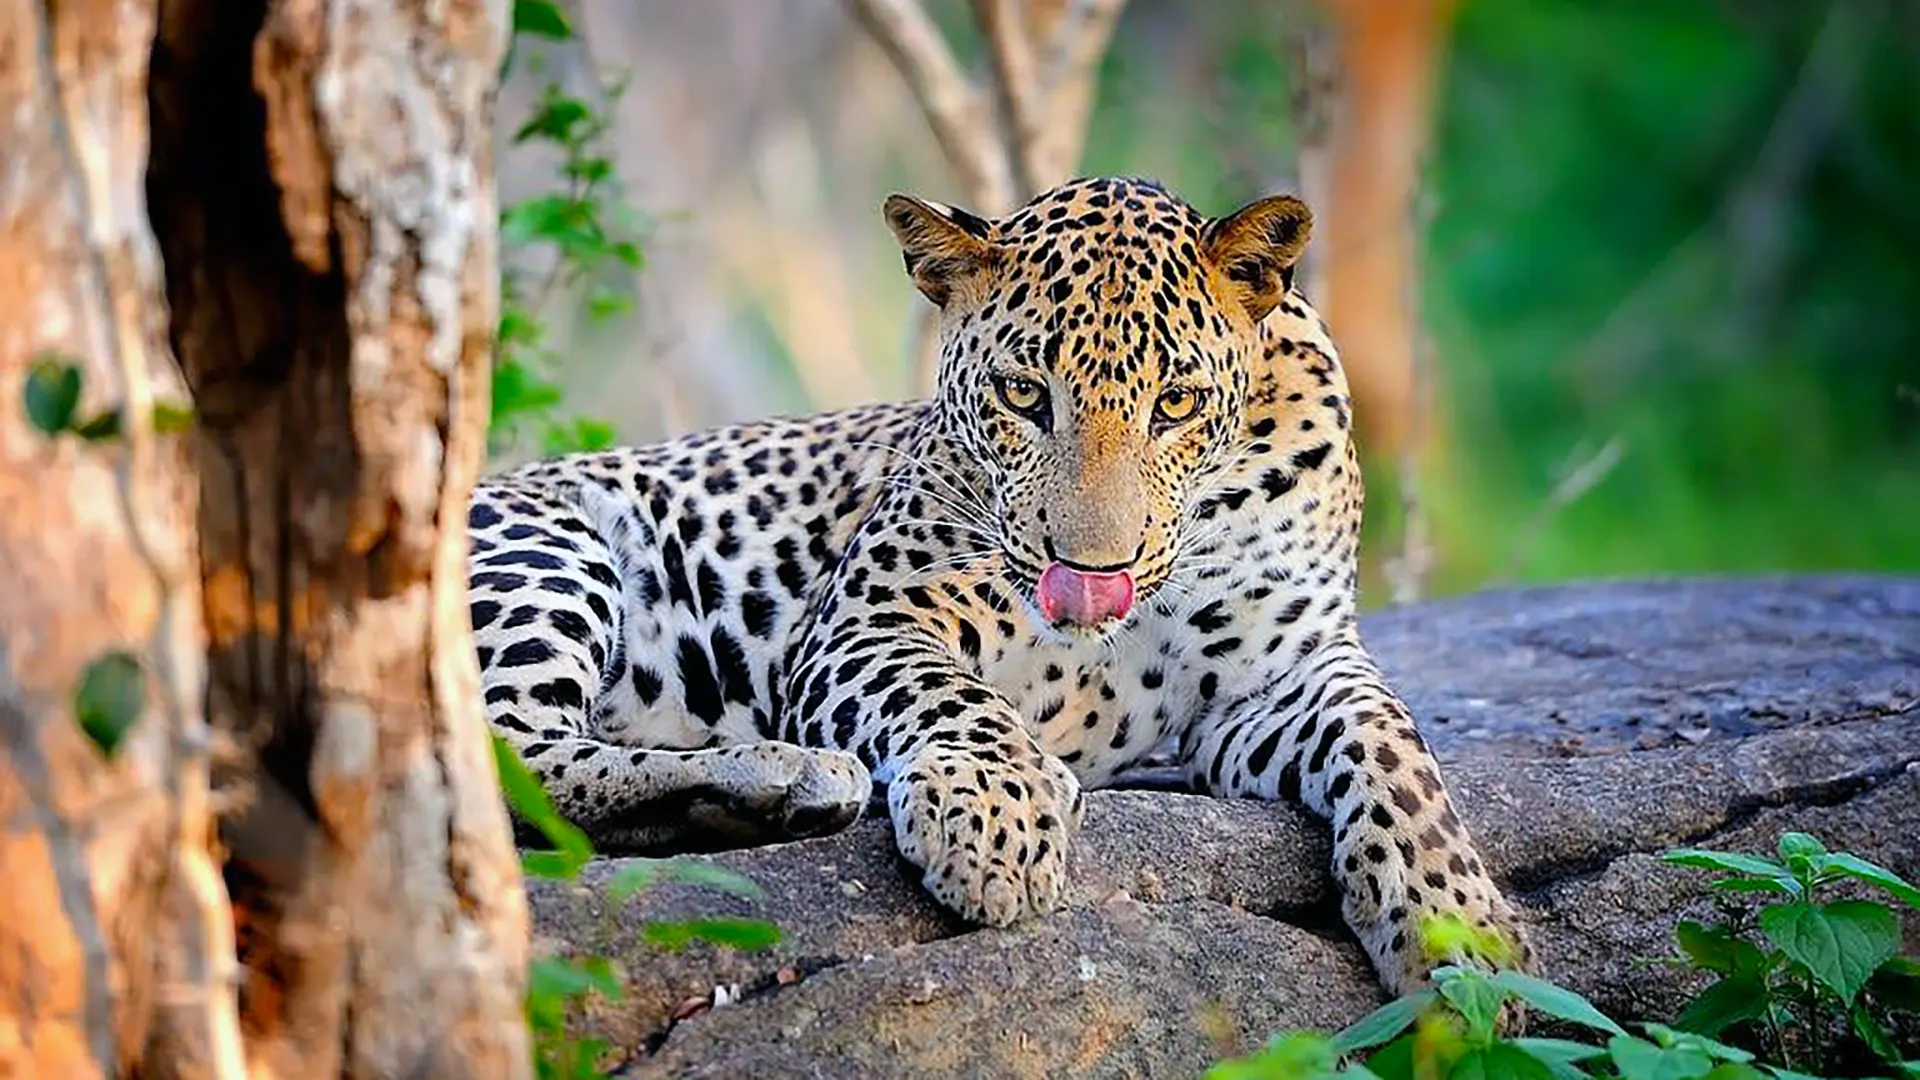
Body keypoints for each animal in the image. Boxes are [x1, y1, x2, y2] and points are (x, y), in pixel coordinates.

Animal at [467, 175, 1532, 996]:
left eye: (1177, 404)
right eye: (1025, 395)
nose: (1095, 574)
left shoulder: (1283, 673)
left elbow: (1393, 746)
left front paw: (1459, 928)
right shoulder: (869, 621)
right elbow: (952, 695)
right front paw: (996, 816)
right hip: (548, 543)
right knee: (506, 759)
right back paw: (778, 777)